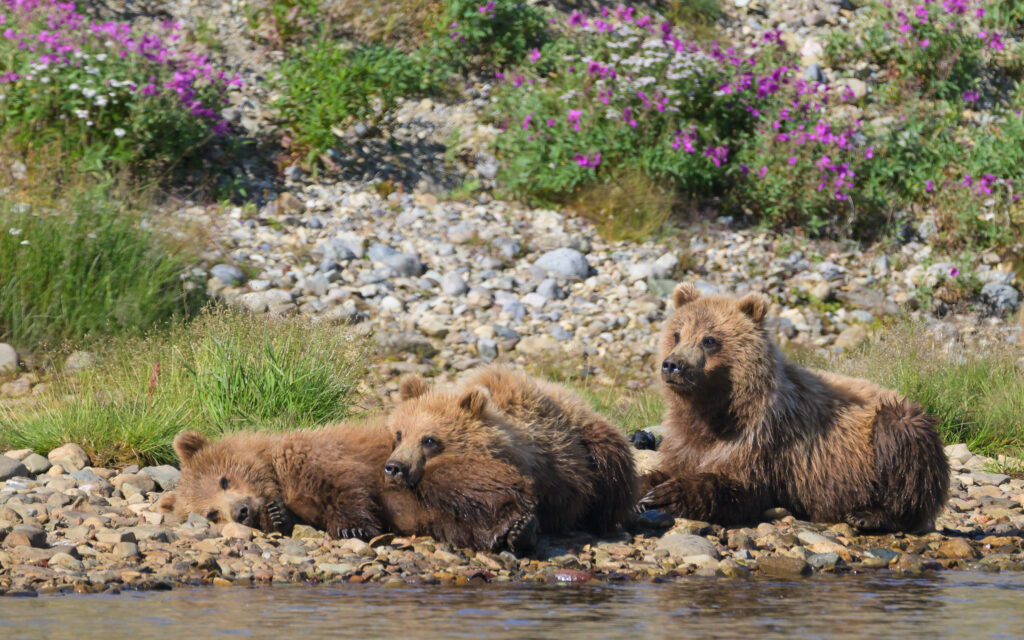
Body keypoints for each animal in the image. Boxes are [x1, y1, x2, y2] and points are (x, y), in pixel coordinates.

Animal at [158, 418, 396, 539]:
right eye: (212, 514)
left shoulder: (306, 458)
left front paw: (352, 528)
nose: (241, 511)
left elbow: (343, 484)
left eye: (223, 480)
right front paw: (278, 514)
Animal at [639, 283, 950, 533]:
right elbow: (671, 464)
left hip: (895, 426)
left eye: (709, 339)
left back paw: (869, 515)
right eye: (677, 334)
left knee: (904, 457)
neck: (714, 411)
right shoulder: (685, 437)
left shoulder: (765, 443)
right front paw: (648, 486)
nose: (672, 365)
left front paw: (665, 494)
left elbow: (740, 488)